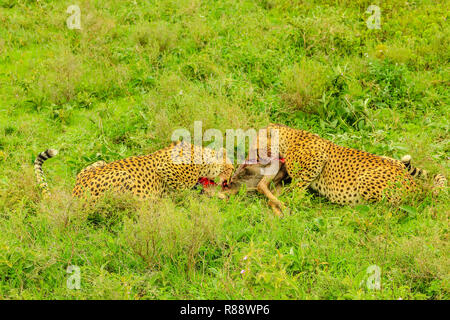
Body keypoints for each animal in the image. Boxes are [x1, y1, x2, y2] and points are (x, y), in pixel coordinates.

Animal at [33, 142, 234, 200]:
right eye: (231, 168)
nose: (230, 180)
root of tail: (75, 193)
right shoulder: (165, 169)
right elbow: (183, 190)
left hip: (100, 162)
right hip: (123, 178)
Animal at [250, 123, 446, 215]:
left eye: (256, 146)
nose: (252, 157)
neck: (288, 139)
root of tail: (417, 187)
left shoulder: (317, 160)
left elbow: (297, 187)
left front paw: (291, 202)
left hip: (366, 181)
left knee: (387, 208)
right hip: (391, 161)